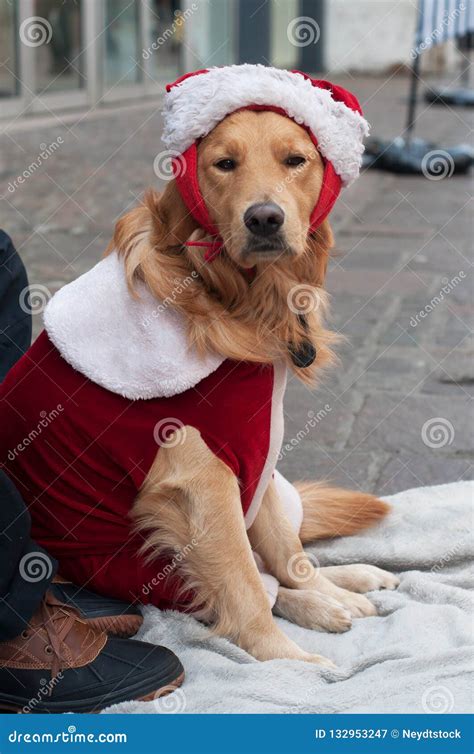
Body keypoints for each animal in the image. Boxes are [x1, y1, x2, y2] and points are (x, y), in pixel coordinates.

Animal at [107, 107, 400, 664]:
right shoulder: (203, 479)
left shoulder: (253, 445)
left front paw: (325, 596)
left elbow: (287, 552)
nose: (264, 218)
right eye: (224, 163)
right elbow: (244, 588)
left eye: (296, 160)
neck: (223, 293)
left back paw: (346, 588)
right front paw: (292, 665)